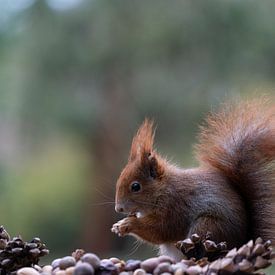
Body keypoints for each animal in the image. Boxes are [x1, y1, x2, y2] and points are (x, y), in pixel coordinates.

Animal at [111, 99, 274, 260]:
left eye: (136, 186)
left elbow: (161, 230)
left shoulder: (174, 207)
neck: (163, 189)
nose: (119, 209)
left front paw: (127, 224)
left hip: (207, 226)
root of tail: (242, 243)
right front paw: (119, 225)